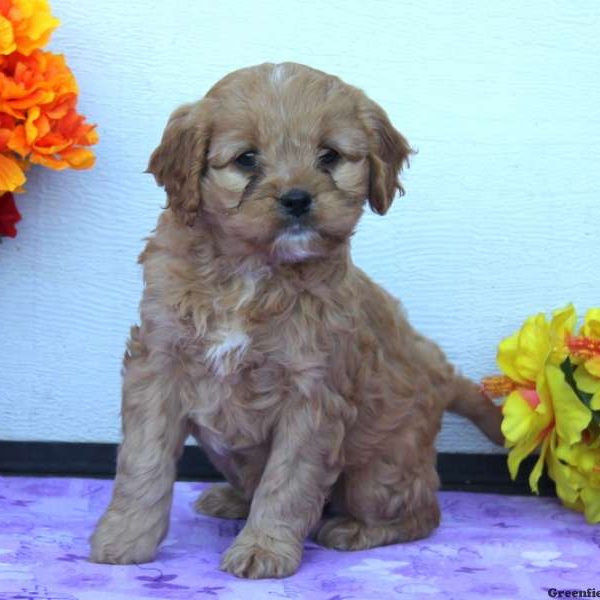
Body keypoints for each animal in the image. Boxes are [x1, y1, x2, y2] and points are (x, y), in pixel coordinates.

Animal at [89, 63, 502, 580]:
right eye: (246, 159)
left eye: (330, 156)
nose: (298, 198)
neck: (250, 271)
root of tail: (438, 370)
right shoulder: (158, 366)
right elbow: (143, 463)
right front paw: (124, 540)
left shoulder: (313, 393)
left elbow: (287, 481)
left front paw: (263, 549)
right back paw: (231, 500)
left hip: (379, 470)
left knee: (424, 511)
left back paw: (355, 529)